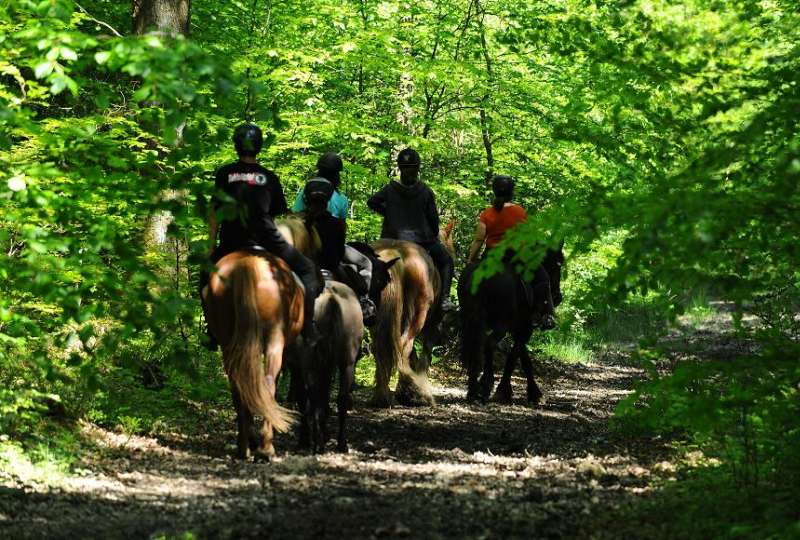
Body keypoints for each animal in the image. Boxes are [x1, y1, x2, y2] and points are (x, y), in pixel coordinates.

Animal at [204, 250, 302, 460]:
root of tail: (247, 263)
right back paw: (266, 448)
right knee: (268, 384)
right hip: (275, 339)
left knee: (239, 389)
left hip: (230, 345)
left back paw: (245, 447)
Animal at [370, 239, 441, 407]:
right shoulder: (432, 326)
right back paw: (418, 392)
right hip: (419, 314)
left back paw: (381, 397)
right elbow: (425, 353)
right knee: (404, 347)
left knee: (379, 349)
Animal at [457, 244, 564, 404]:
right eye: (558, 264)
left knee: (475, 348)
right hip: (500, 325)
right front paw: (510, 391)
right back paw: (486, 385)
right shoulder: (524, 329)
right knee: (488, 344)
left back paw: (473, 390)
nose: (558, 297)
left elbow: (522, 356)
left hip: (471, 320)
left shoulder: (518, 329)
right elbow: (517, 359)